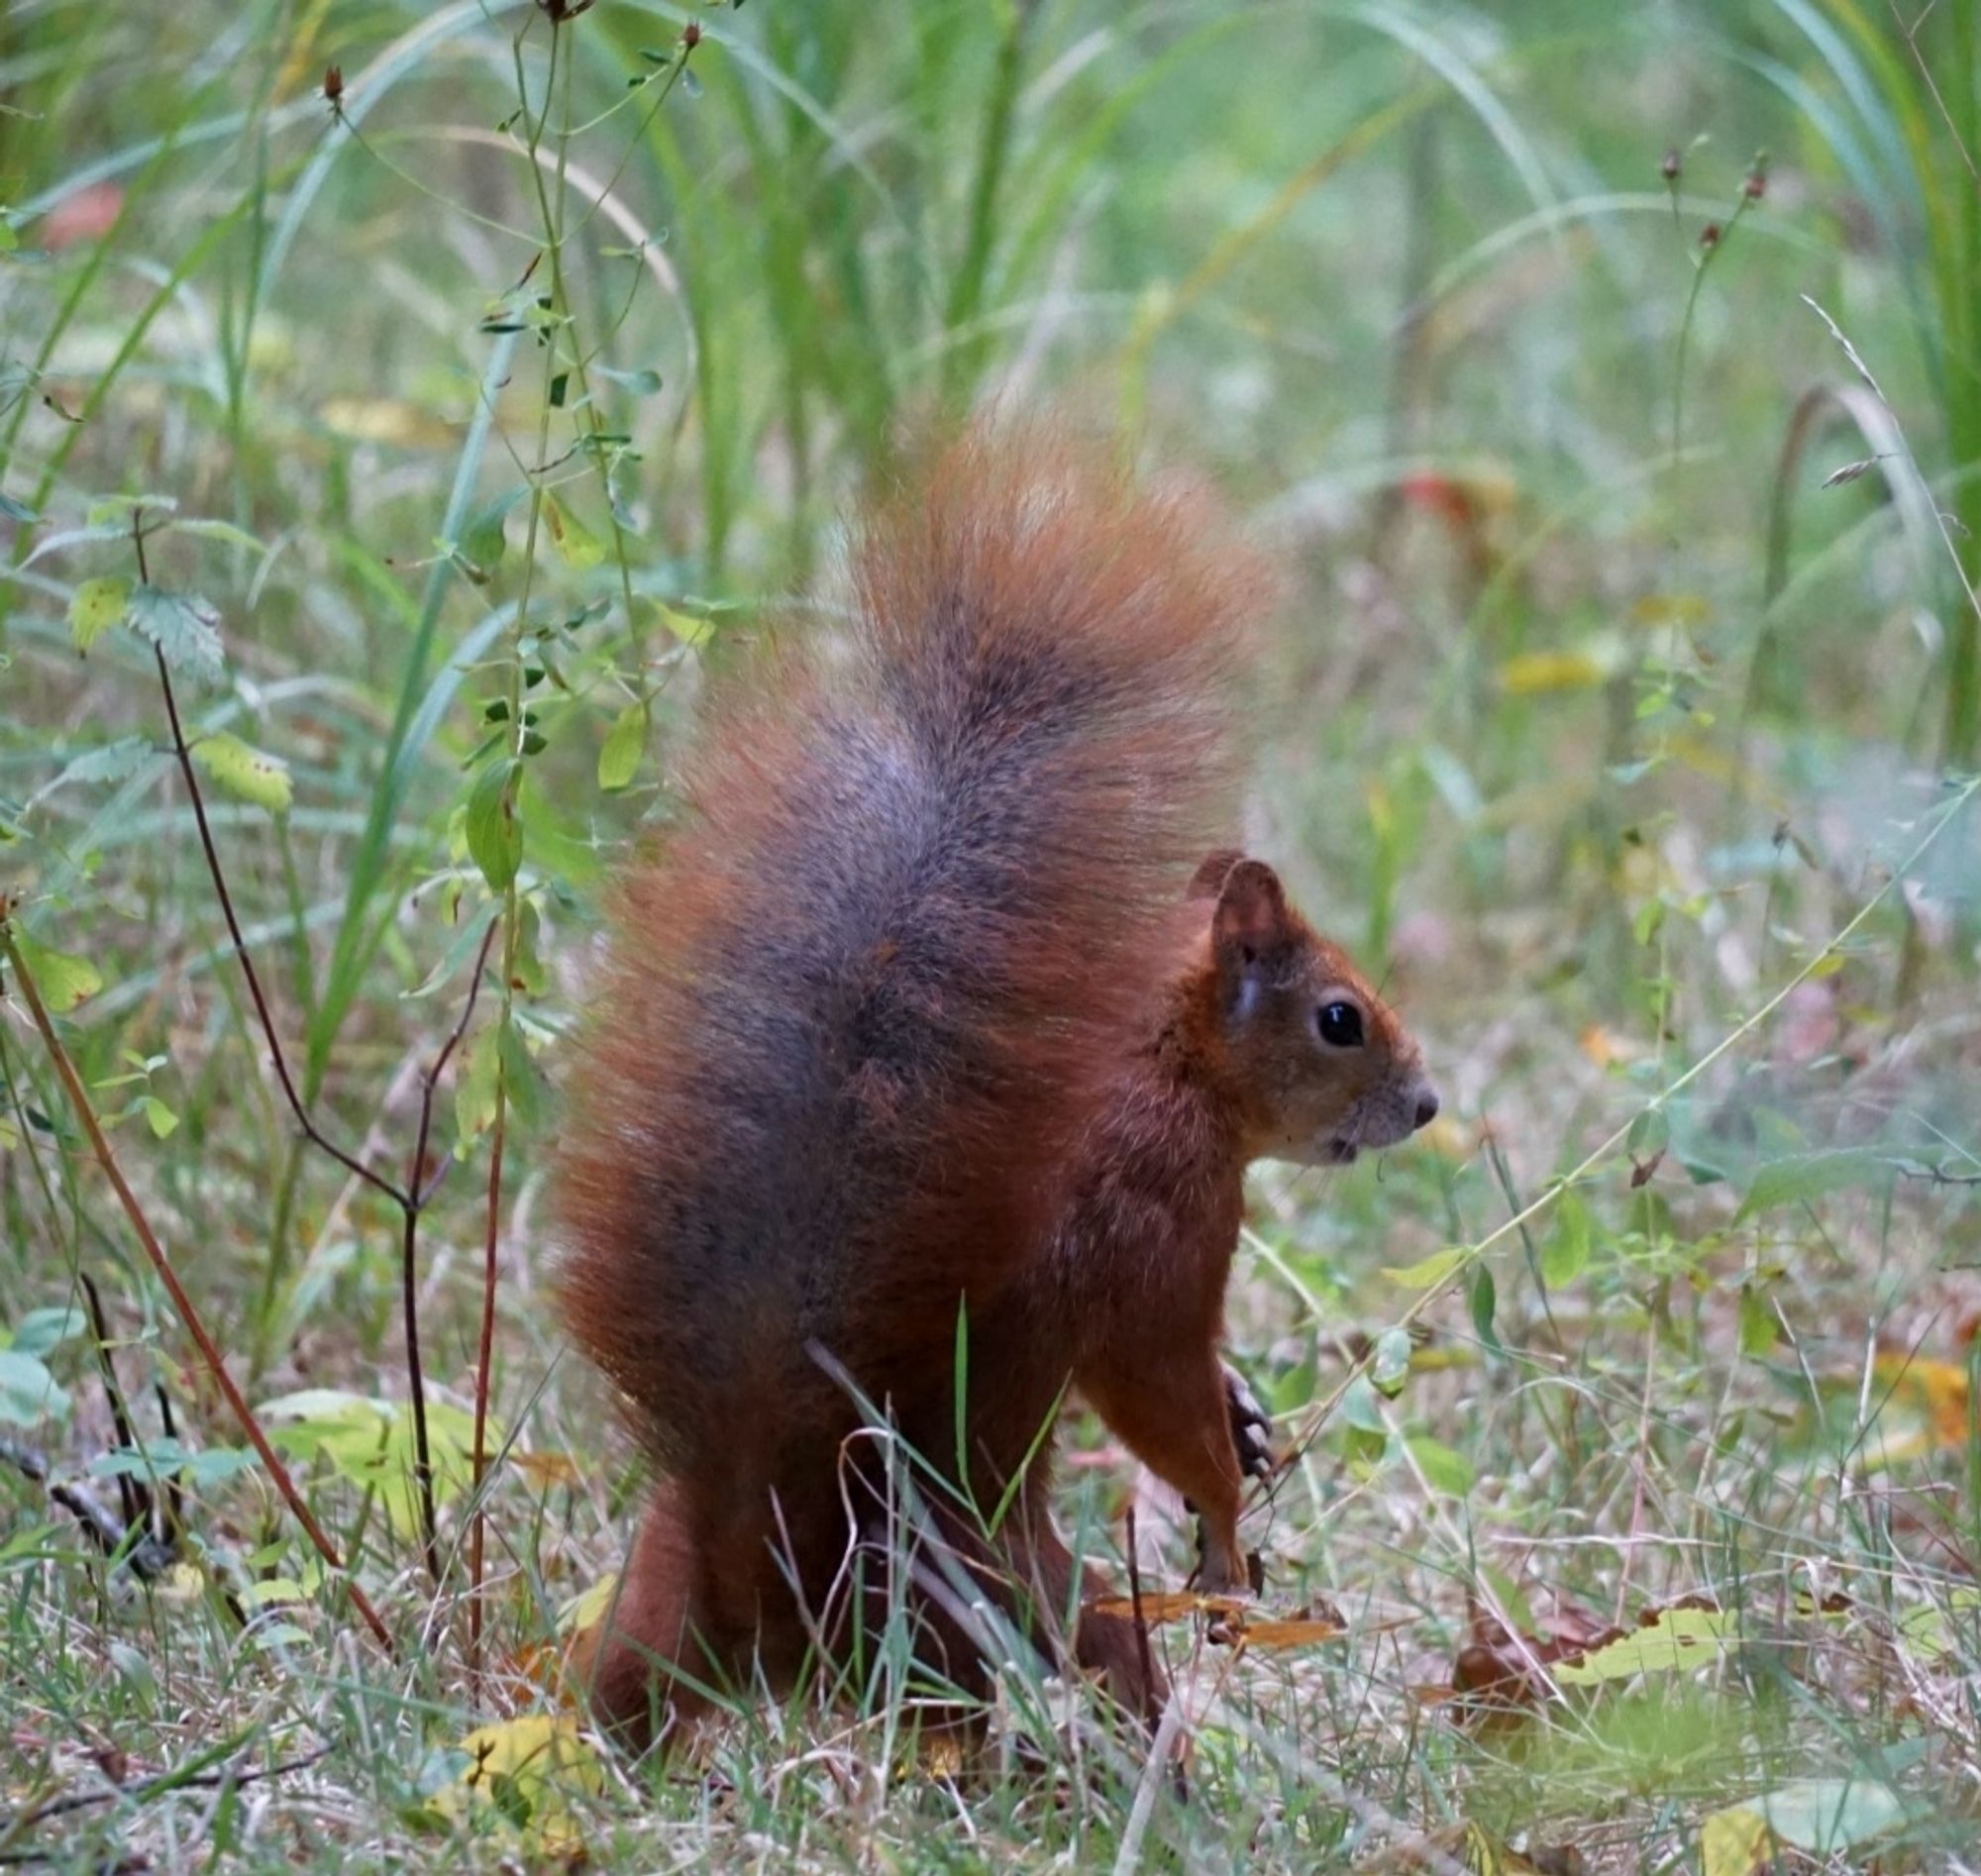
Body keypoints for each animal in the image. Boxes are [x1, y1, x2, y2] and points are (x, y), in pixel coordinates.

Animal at [559, 422, 1442, 1743]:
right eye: (1340, 1019)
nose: (1425, 1106)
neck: (1169, 1066)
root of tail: (764, 1566)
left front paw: (1246, 1418)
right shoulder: (1159, 1219)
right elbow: (1155, 1380)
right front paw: (1225, 1525)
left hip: (657, 1585)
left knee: (630, 1684)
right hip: (995, 1606)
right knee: (1083, 1661)